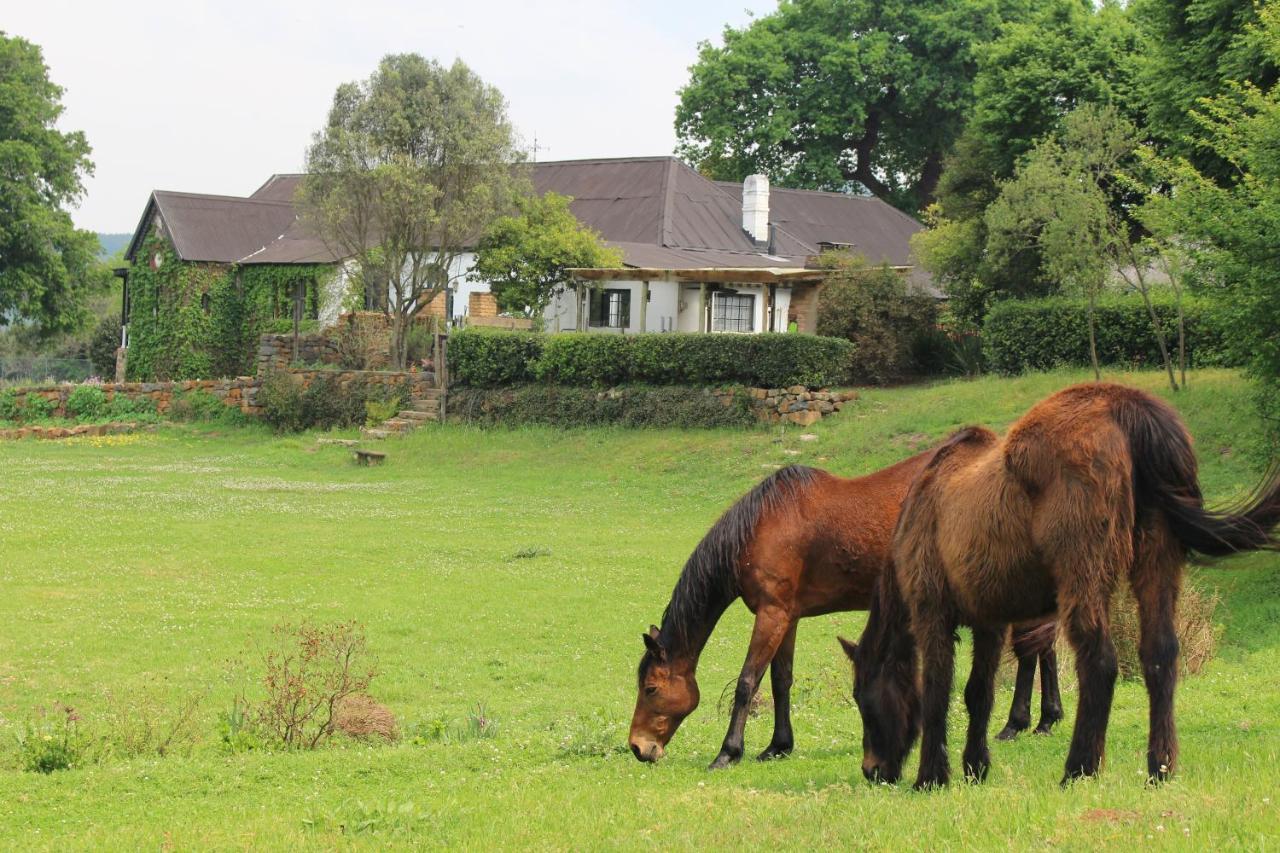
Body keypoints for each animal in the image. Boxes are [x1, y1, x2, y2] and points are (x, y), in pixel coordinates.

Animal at [629, 450, 1059, 763]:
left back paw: (1018, 723)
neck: (761, 528)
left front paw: (728, 752)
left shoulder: (771, 614)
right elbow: (781, 681)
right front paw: (778, 746)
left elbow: (748, 681)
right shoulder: (787, 615)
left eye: (651, 688)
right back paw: (1042, 720)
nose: (637, 747)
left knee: (1031, 649)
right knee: (1041, 648)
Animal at [849, 381, 1280, 788]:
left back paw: (1079, 768)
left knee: (1099, 662)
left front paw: (932, 776)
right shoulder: (989, 623)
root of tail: (1123, 406)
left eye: (863, 698)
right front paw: (975, 767)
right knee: (1160, 655)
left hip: (1083, 576)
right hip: (1157, 564)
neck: (928, 496)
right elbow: (978, 693)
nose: (872, 771)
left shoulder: (931, 612)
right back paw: (1159, 769)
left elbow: (937, 692)